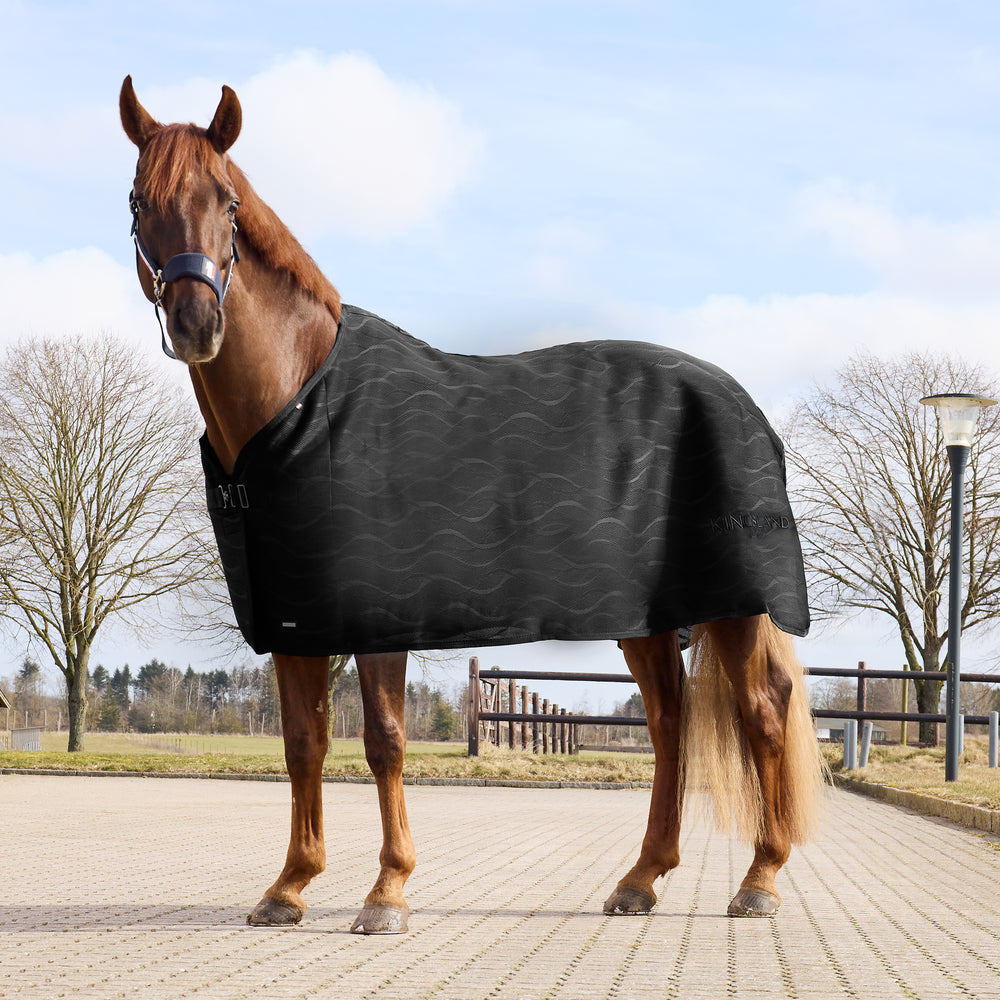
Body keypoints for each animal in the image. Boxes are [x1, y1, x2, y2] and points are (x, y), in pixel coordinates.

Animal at [119, 76, 825, 934]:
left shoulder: (375, 617)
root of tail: (742, 403)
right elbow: (303, 744)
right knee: (669, 723)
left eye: (225, 203)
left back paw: (759, 879)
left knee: (762, 712)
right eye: (137, 203)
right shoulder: (297, 620)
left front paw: (387, 892)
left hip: (737, 606)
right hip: (648, 621)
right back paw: (641, 880)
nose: (197, 324)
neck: (299, 402)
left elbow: (384, 740)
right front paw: (288, 887)